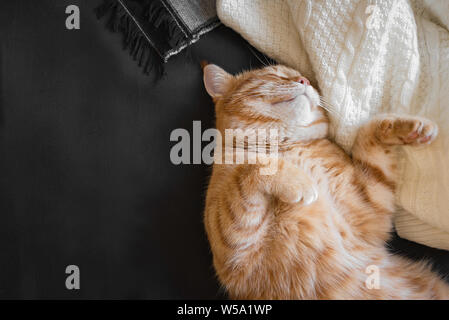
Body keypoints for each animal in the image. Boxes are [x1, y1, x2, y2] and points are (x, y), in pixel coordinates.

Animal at [203, 63, 448, 300]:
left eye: (304, 78)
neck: (287, 146)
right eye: (276, 75)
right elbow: (254, 167)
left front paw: (412, 128)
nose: (305, 80)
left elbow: (369, 131)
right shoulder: (233, 246)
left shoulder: (370, 210)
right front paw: (300, 181)